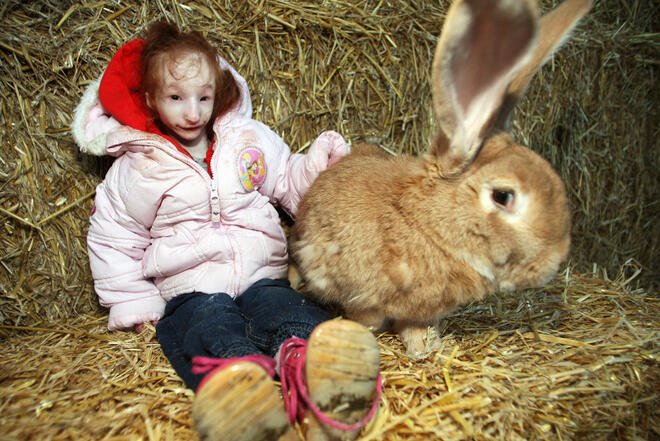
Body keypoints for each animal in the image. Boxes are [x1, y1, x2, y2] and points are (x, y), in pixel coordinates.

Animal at [288, 0, 592, 354]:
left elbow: (415, 325)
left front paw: (425, 348)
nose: (553, 263)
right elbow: (367, 318)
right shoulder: (358, 295)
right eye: (503, 196)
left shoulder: (419, 310)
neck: (425, 225)